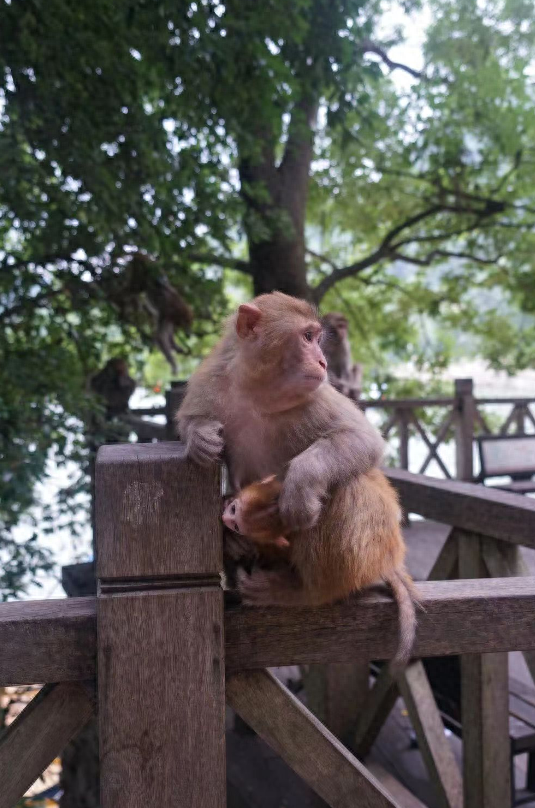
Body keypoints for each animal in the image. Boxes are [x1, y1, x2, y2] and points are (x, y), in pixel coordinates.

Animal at [179, 292, 386, 536]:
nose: (323, 362)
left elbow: (363, 437)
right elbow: (189, 419)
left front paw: (300, 485)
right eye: (308, 336)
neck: (258, 392)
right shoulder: (210, 379)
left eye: (317, 339)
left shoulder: (317, 394)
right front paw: (199, 435)